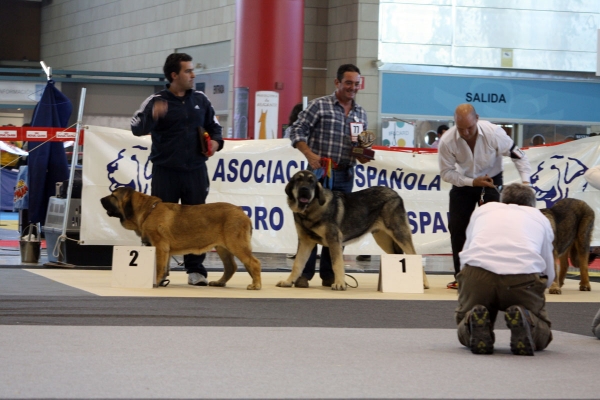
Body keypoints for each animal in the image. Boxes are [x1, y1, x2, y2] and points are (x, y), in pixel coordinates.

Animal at [99, 186, 262, 290]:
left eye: (113, 196)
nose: (100, 199)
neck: (146, 212)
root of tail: (241, 211)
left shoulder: (160, 247)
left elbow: (159, 266)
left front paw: (156, 282)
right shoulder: (164, 250)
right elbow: (164, 268)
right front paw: (161, 281)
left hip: (236, 244)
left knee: (253, 262)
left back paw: (256, 285)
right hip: (223, 248)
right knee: (231, 267)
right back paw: (220, 282)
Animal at [278, 170, 428, 290]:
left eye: (311, 182)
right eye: (298, 180)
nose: (304, 189)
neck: (309, 210)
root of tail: (396, 194)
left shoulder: (334, 240)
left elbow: (337, 263)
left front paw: (339, 284)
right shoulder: (305, 242)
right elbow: (298, 264)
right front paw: (288, 282)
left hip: (399, 234)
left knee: (414, 256)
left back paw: (424, 284)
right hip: (384, 239)